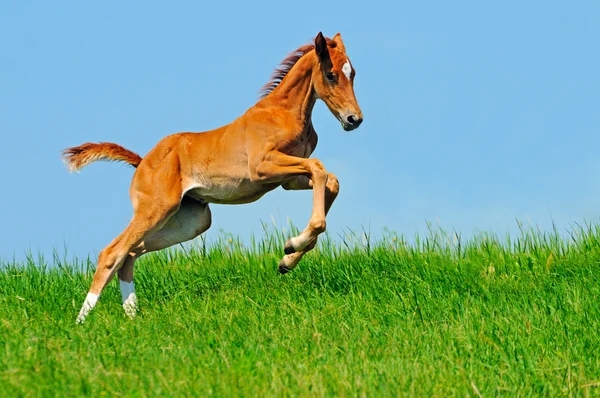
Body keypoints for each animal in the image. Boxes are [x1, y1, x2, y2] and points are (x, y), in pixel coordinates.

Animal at [62, 31, 360, 324]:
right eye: (331, 74)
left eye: (353, 73)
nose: (354, 119)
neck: (284, 112)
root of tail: (142, 161)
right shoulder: (262, 167)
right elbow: (318, 168)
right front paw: (291, 246)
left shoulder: (288, 181)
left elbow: (329, 180)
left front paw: (287, 259)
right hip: (154, 210)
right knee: (112, 252)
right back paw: (81, 323)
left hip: (191, 221)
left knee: (131, 252)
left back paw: (132, 317)